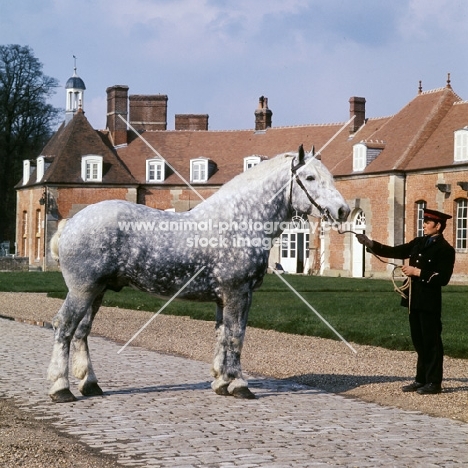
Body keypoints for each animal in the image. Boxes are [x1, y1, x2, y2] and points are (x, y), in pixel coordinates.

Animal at [47, 146, 350, 402]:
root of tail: (71, 223)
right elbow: (236, 336)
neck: (240, 220)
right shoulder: (238, 292)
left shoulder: (225, 297)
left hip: (96, 291)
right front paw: (239, 384)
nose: (343, 210)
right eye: (309, 177)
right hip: (82, 290)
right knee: (64, 327)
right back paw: (61, 388)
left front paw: (221, 382)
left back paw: (90, 384)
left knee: (82, 332)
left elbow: (222, 335)